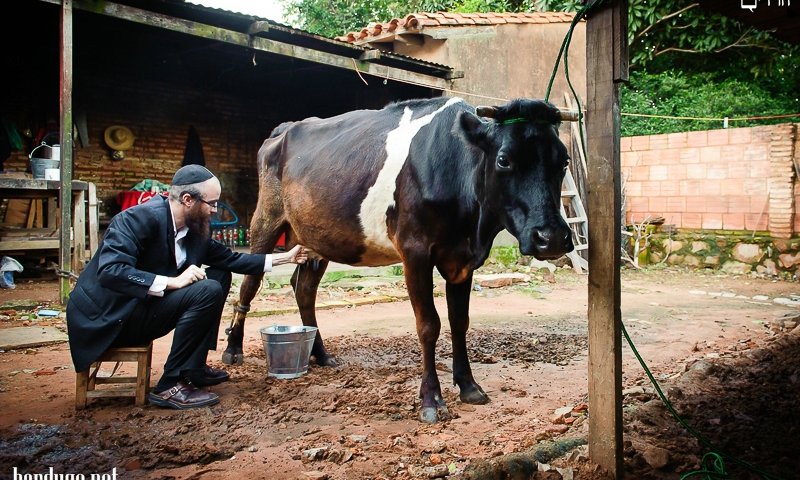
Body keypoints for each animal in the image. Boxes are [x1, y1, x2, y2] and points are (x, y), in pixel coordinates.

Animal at [225, 95, 576, 422]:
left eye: (564, 161)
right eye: (504, 160)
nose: (552, 237)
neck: (473, 227)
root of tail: (285, 129)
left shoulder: (461, 260)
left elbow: (460, 322)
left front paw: (469, 386)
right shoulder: (414, 250)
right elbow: (429, 325)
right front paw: (431, 400)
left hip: (317, 238)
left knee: (304, 289)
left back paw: (321, 354)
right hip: (266, 219)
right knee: (250, 283)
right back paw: (233, 349)